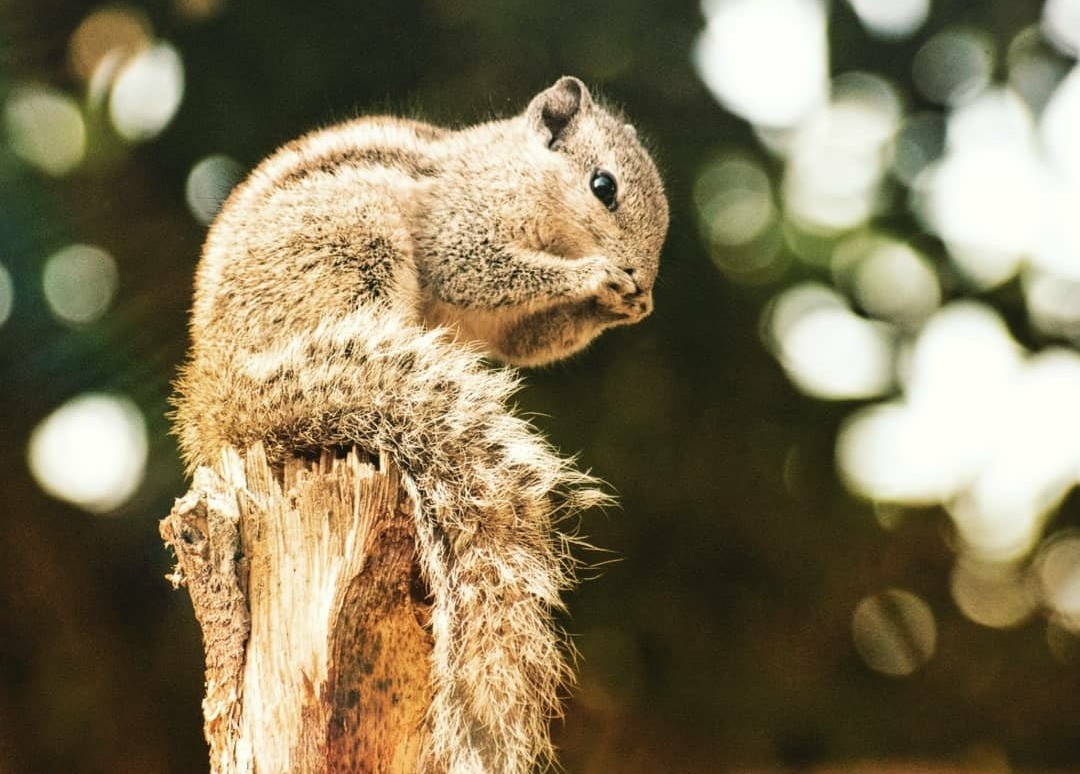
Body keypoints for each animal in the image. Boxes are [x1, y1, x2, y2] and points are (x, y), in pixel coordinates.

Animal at [172, 76, 668, 772]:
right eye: (604, 186)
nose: (642, 280)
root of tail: (221, 389)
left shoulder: (510, 330)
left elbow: (532, 339)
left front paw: (620, 303)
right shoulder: (459, 224)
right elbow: (478, 270)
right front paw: (592, 277)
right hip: (352, 244)